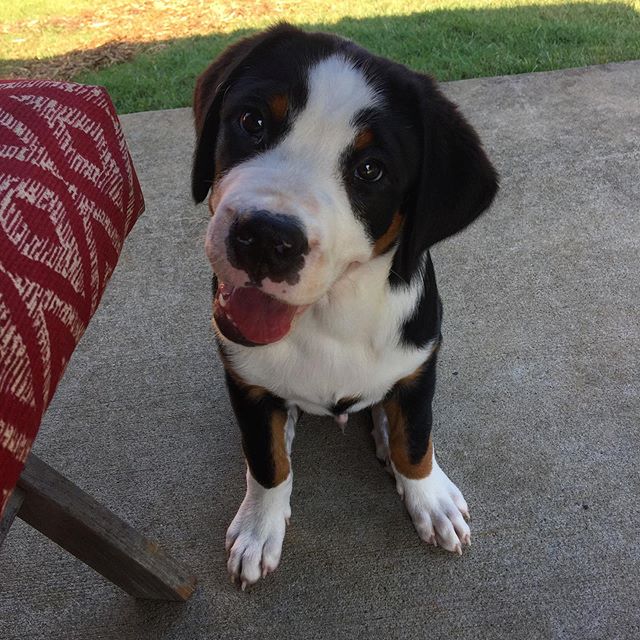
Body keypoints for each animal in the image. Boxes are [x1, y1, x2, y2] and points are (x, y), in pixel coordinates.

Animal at [191, 22, 500, 588]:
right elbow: (266, 461)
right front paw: (259, 527)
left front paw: (430, 499)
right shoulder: (243, 379)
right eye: (252, 121)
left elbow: (415, 441)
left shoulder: (420, 365)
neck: (329, 319)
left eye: (371, 170)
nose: (265, 238)